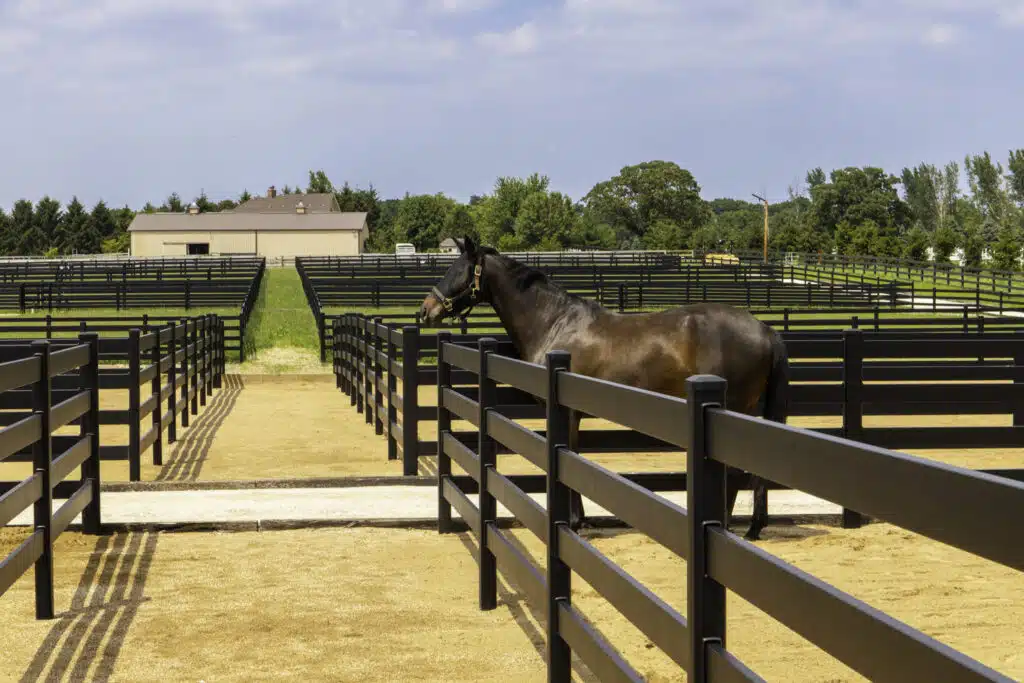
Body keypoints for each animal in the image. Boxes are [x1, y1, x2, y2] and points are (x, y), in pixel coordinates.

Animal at [418, 237, 789, 541]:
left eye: (459, 270)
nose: (426, 311)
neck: (554, 323)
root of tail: (766, 330)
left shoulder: (566, 411)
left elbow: (569, 457)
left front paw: (575, 522)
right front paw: (581, 519)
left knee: (735, 472)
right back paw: (754, 526)